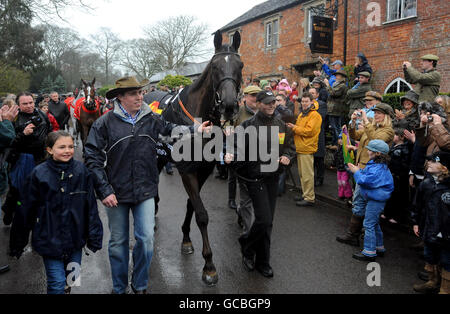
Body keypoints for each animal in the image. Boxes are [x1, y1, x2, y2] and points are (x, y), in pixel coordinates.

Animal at [149, 30, 243, 286]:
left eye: (240, 66)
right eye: (215, 67)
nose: (229, 105)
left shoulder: (203, 170)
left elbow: (192, 204)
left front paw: (186, 239)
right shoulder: (187, 171)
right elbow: (201, 214)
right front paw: (209, 265)